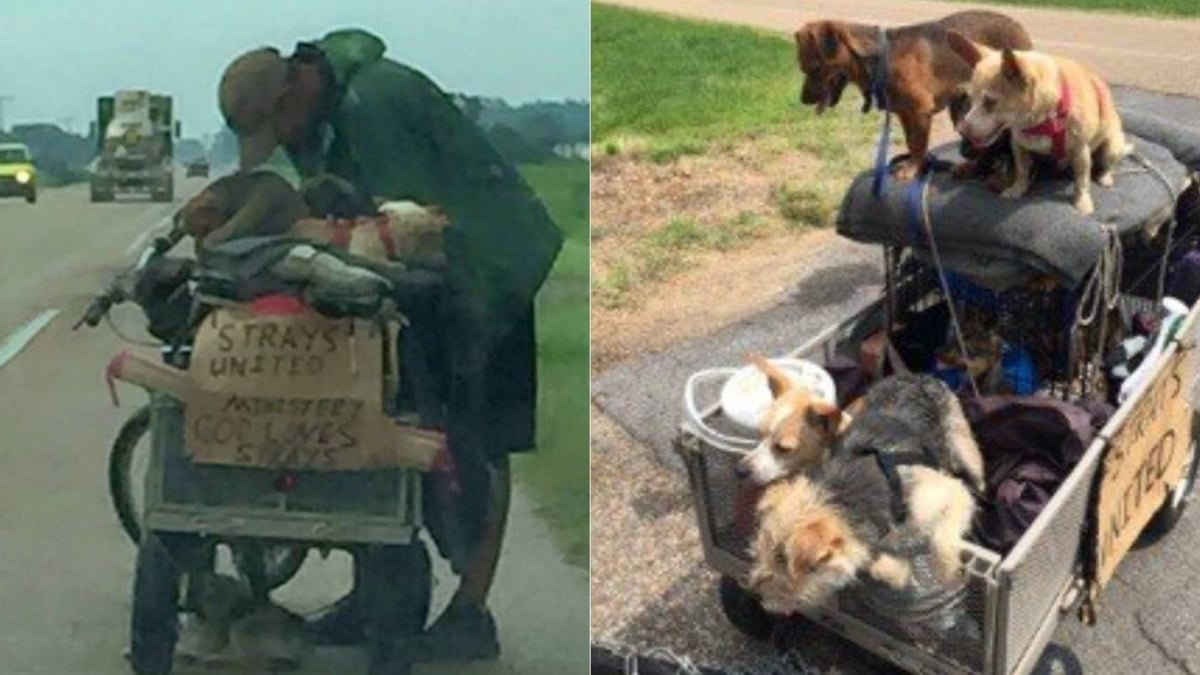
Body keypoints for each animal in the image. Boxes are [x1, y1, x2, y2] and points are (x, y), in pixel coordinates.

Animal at [748, 372, 984, 610]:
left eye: (786, 565)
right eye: (760, 550)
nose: (756, 594)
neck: (846, 496)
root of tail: (914, 376)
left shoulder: (949, 493)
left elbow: (942, 539)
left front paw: (948, 573)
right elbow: (875, 561)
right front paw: (896, 572)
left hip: (963, 444)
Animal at [787, 11, 1032, 178]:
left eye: (814, 68)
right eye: (802, 68)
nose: (803, 100)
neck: (881, 59)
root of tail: (1017, 24)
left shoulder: (920, 112)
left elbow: (919, 144)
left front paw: (913, 168)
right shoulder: (905, 114)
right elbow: (911, 143)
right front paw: (915, 164)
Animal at [945, 32, 1132, 212]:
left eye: (990, 102)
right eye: (970, 100)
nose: (962, 130)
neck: (1042, 120)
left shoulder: (1080, 151)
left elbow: (1081, 180)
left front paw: (1082, 203)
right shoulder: (1018, 146)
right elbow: (1021, 170)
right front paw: (1017, 190)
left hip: (1111, 148)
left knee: (1107, 164)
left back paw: (1105, 177)